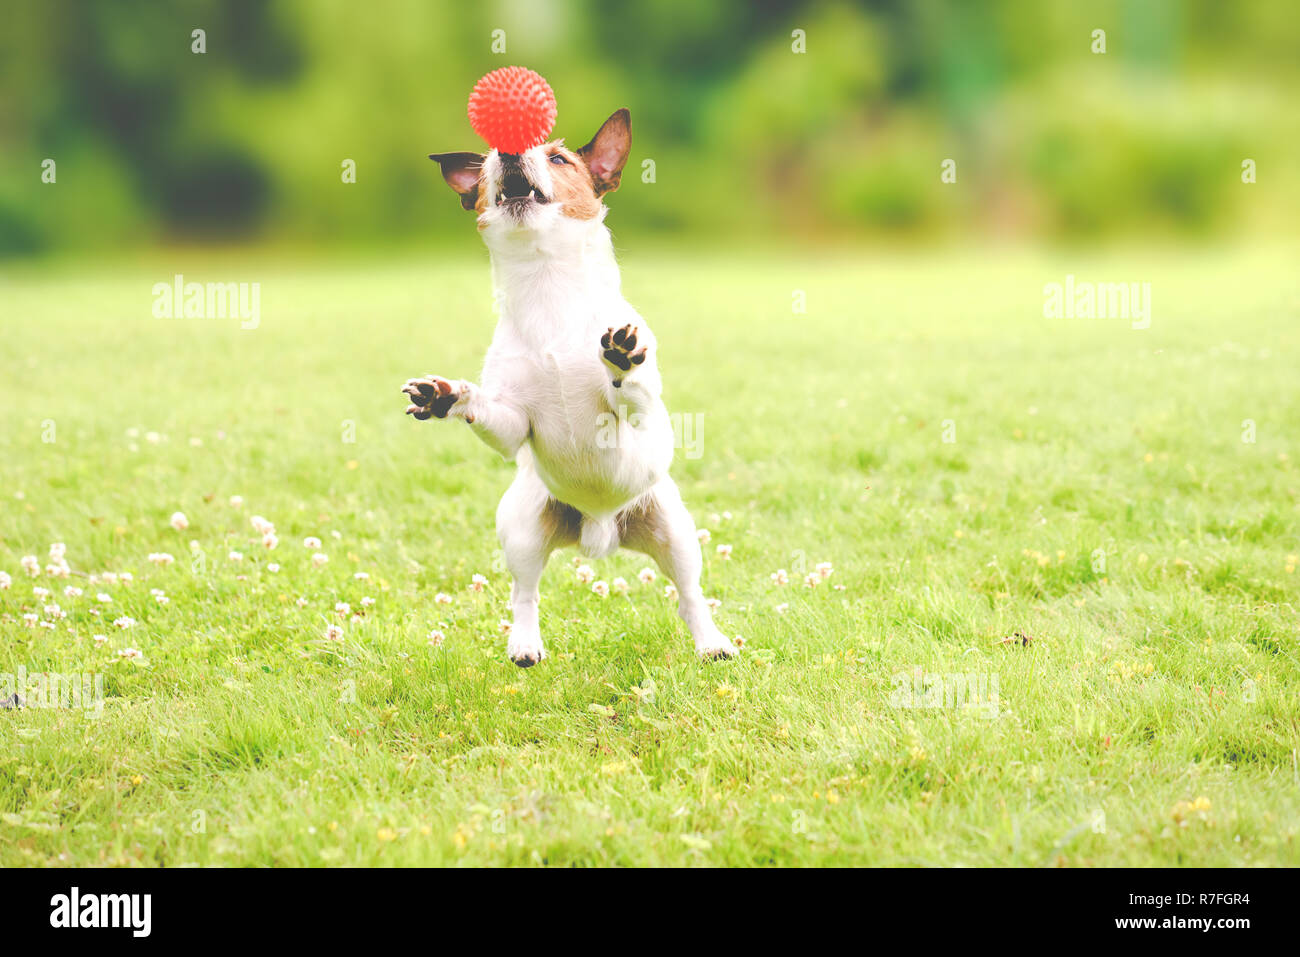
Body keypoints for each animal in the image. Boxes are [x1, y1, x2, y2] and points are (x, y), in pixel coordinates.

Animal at [405, 108, 733, 665]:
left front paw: (621, 359)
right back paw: (524, 643)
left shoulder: (641, 414)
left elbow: (631, 395)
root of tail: (599, 532)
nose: (509, 150)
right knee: (525, 593)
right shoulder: (513, 426)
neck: (547, 288)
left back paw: (712, 642)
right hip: (520, 528)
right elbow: (492, 413)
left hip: (676, 532)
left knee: (689, 596)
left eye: (558, 157)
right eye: (488, 161)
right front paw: (449, 395)